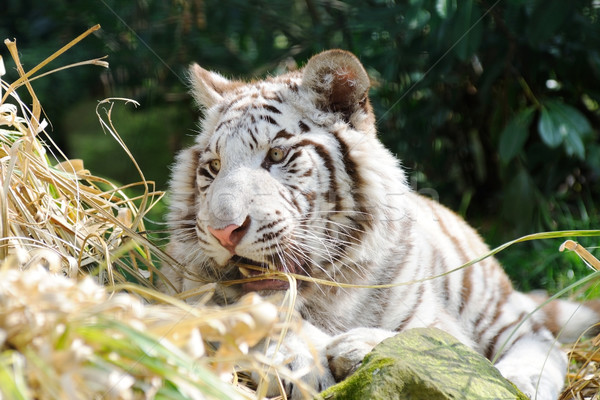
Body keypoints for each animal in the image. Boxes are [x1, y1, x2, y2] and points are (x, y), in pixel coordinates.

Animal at [162, 48, 596, 398]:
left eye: (277, 154)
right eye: (213, 166)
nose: (223, 231)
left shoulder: (439, 321)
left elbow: (432, 339)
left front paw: (354, 347)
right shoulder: (187, 303)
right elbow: (254, 321)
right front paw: (301, 361)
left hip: (490, 306)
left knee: (540, 344)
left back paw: (517, 381)